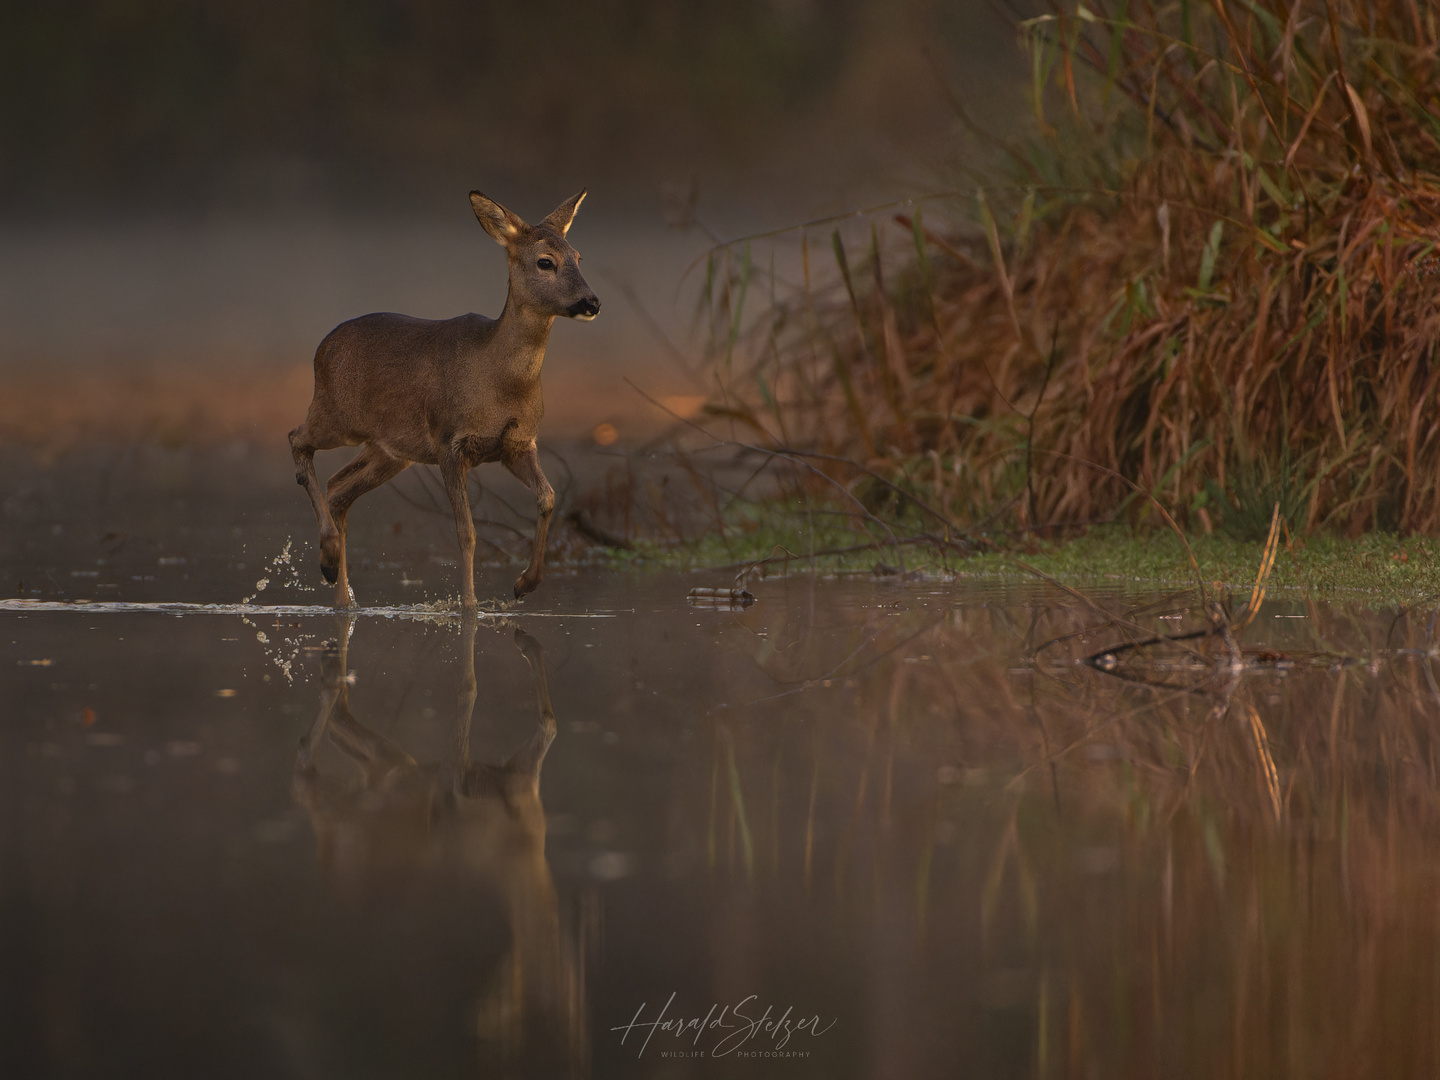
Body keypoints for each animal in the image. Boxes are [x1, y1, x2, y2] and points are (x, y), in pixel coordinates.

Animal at [289, 188, 599, 610]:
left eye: (579, 257)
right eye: (545, 261)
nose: (592, 302)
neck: (500, 379)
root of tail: (322, 348)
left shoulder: (518, 444)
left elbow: (548, 498)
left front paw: (524, 584)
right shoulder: (449, 442)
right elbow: (466, 530)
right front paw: (469, 605)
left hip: (390, 451)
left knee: (338, 488)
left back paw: (341, 590)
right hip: (334, 414)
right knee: (297, 439)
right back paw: (328, 558)